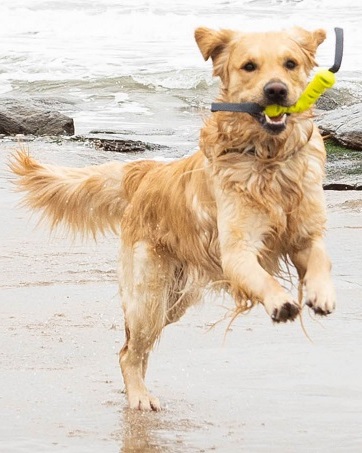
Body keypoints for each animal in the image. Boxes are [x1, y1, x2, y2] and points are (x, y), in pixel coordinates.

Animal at [9, 26, 336, 412]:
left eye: (290, 64)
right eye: (249, 66)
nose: (276, 90)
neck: (269, 158)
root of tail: (147, 170)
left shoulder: (304, 234)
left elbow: (320, 259)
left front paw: (321, 294)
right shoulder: (236, 250)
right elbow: (262, 278)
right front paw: (281, 301)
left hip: (174, 301)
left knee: (139, 349)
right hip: (149, 295)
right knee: (128, 351)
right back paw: (138, 397)